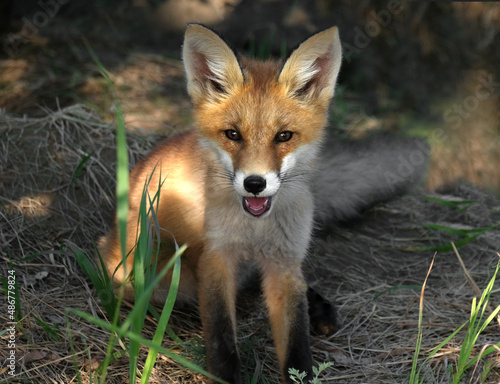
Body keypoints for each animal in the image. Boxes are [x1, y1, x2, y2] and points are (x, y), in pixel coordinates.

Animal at [98, 24, 430, 384]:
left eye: (284, 136)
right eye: (232, 134)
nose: (254, 183)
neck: (256, 230)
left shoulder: (285, 262)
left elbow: (297, 344)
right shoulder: (217, 259)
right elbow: (221, 340)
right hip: (152, 272)